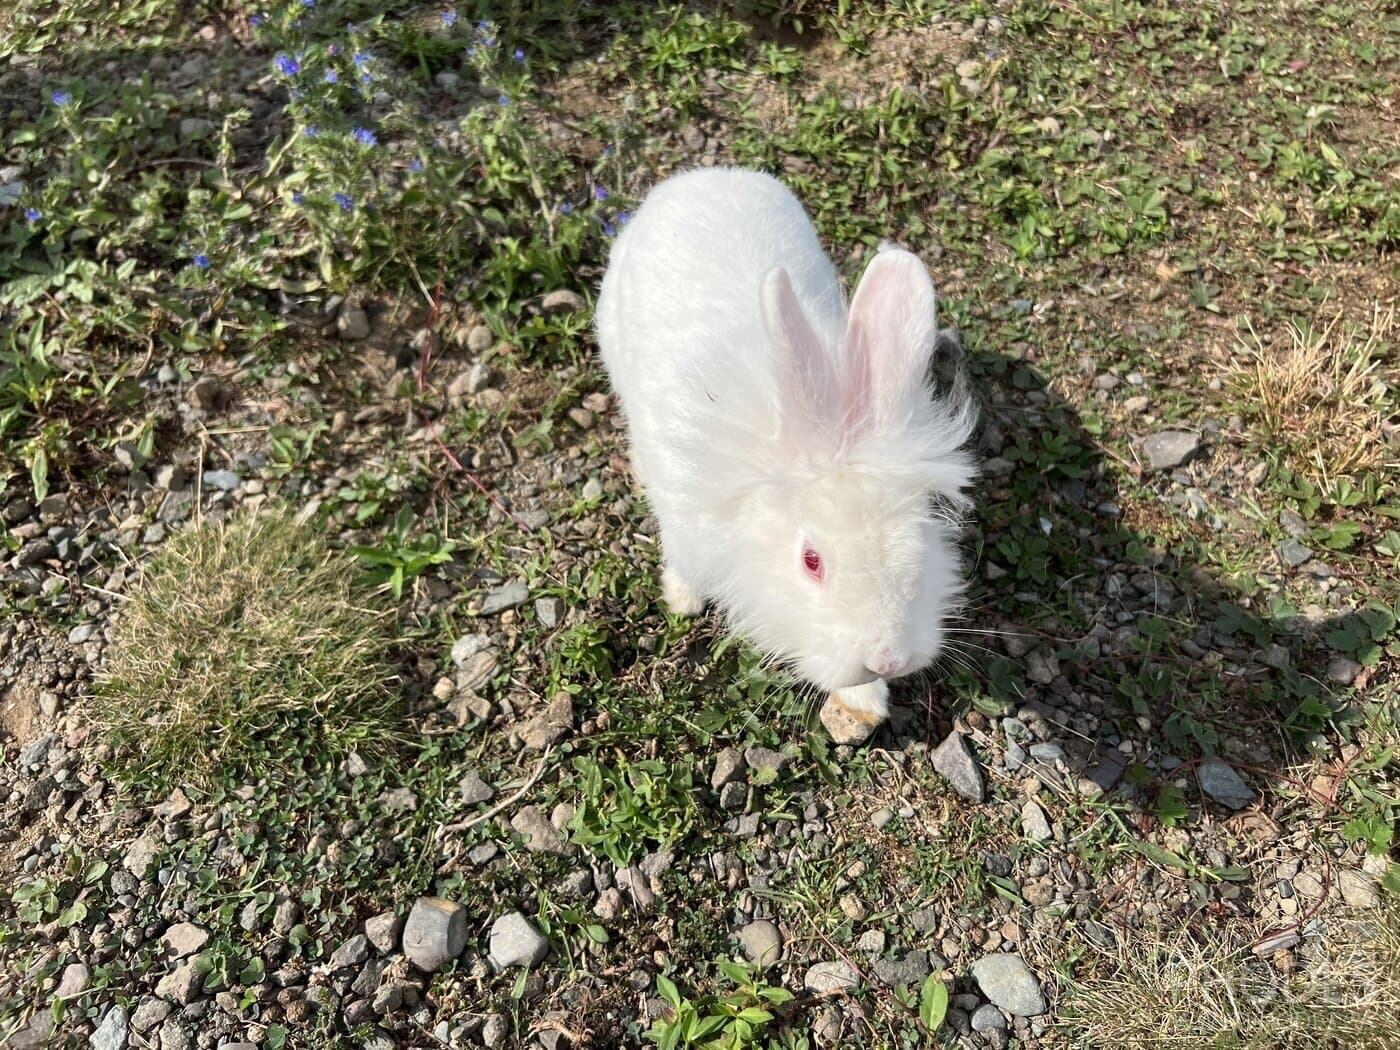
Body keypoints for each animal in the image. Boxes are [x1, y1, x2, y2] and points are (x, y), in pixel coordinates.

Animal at [596, 166, 980, 722]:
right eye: (811, 560)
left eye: (922, 537)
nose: (888, 658)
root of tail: (705, 176)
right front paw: (681, 599)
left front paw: (865, 701)